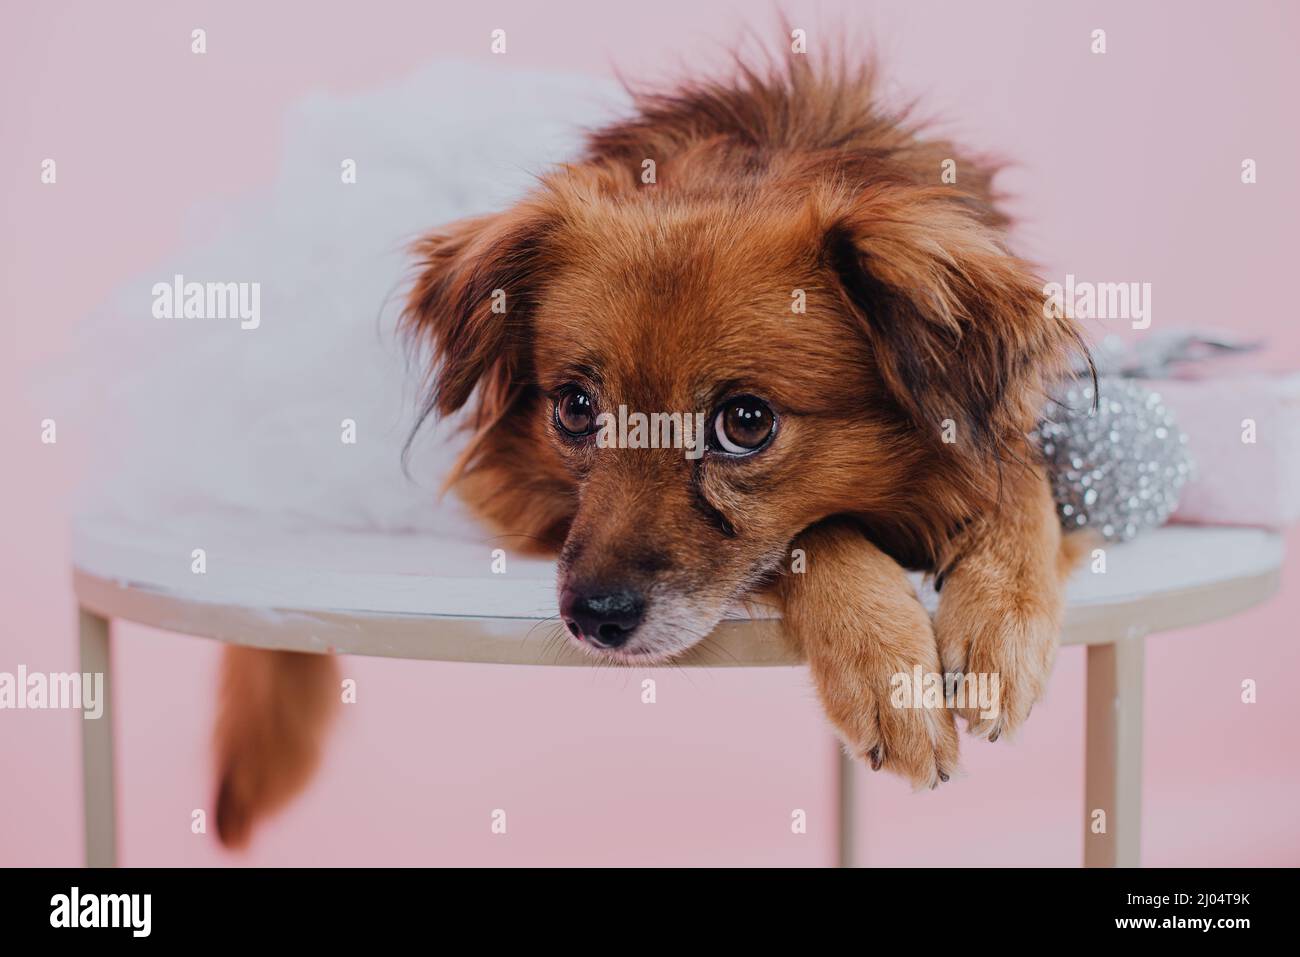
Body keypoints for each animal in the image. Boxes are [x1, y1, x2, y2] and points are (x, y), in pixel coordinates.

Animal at [213, 52, 1086, 847]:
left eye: (746, 421)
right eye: (574, 408)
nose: (595, 619)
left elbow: (1025, 484)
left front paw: (1001, 618)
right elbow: (818, 530)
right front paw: (885, 666)